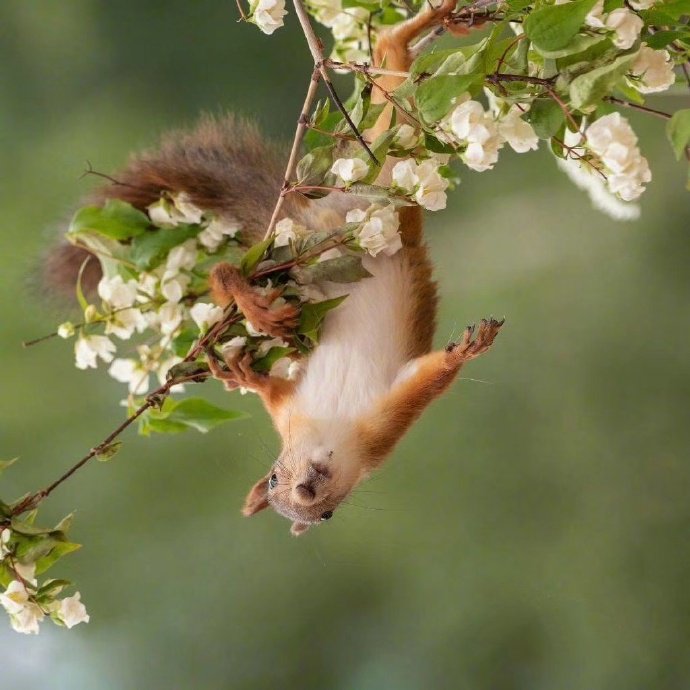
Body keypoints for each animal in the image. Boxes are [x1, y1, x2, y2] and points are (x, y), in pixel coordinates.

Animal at [45, 0, 502, 536]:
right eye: (273, 481)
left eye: (325, 514)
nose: (306, 491)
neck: (330, 429)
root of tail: (304, 213)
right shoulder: (291, 411)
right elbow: (273, 393)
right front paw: (247, 377)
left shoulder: (384, 423)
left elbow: (430, 377)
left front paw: (466, 351)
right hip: (314, 232)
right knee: (224, 272)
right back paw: (252, 306)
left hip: (383, 164)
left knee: (391, 69)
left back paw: (436, 19)